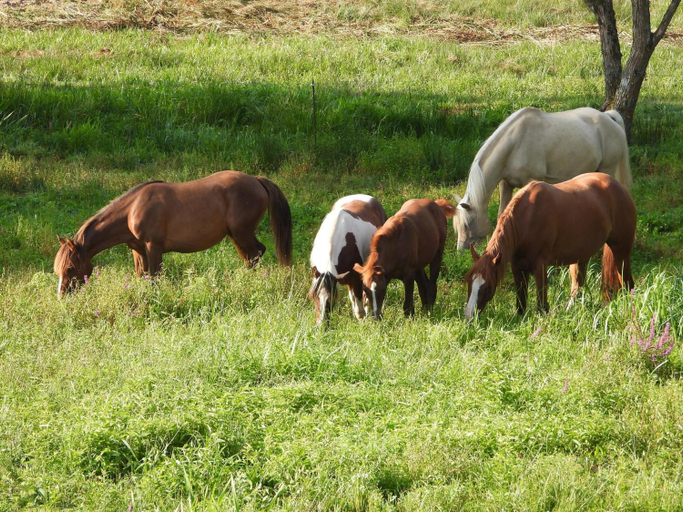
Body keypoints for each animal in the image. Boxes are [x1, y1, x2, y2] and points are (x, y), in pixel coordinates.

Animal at [54, 171, 292, 298]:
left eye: (71, 268)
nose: (62, 296)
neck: (132, 210)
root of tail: (257, 180)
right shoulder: (138, 251)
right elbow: (142, 276)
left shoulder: (153, 247)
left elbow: (155, 277)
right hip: (236, 236)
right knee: (251, 258)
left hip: (242, 234)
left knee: (256, 253)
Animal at [453, 107, 633, 250]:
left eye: (467, 225)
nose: (461, 251)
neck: (515, 144)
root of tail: (608, 117)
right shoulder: (506, 184)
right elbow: (501, 215)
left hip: (607, 169)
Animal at [464, 173, 636, 319]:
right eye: (469, 283)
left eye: (486, 287)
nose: (469, 316)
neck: (527, 218)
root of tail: (619, 187)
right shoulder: (517, 267)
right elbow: (521, 302)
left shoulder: (540, 266)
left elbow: (542, 304)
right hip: (580, 258)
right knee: (578, 286)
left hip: (621, 252)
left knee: (627, 283)